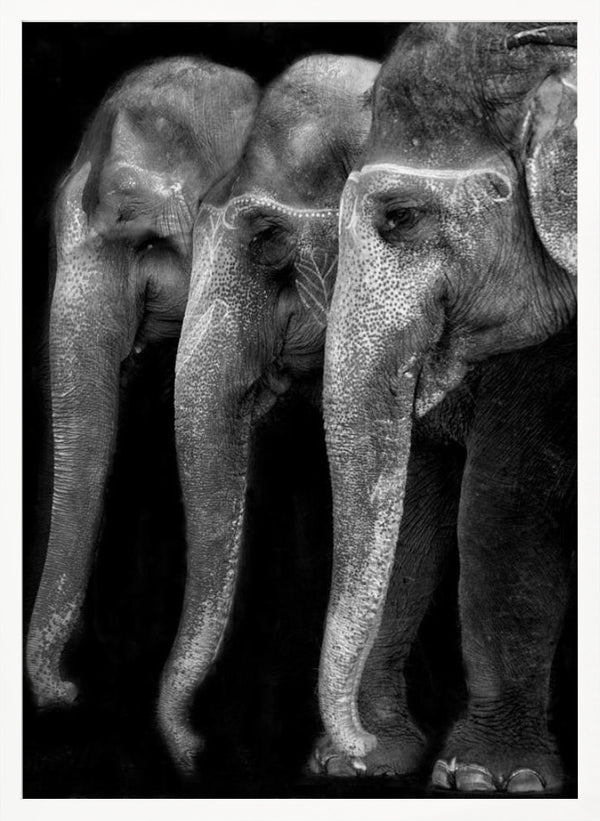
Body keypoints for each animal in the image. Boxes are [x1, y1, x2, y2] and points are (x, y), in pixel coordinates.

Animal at [317, 23, 576, 792]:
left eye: (399, 218)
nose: (356, 747)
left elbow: (506, 502)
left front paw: (492, 779)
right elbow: (421, 495)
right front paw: (373, 764)